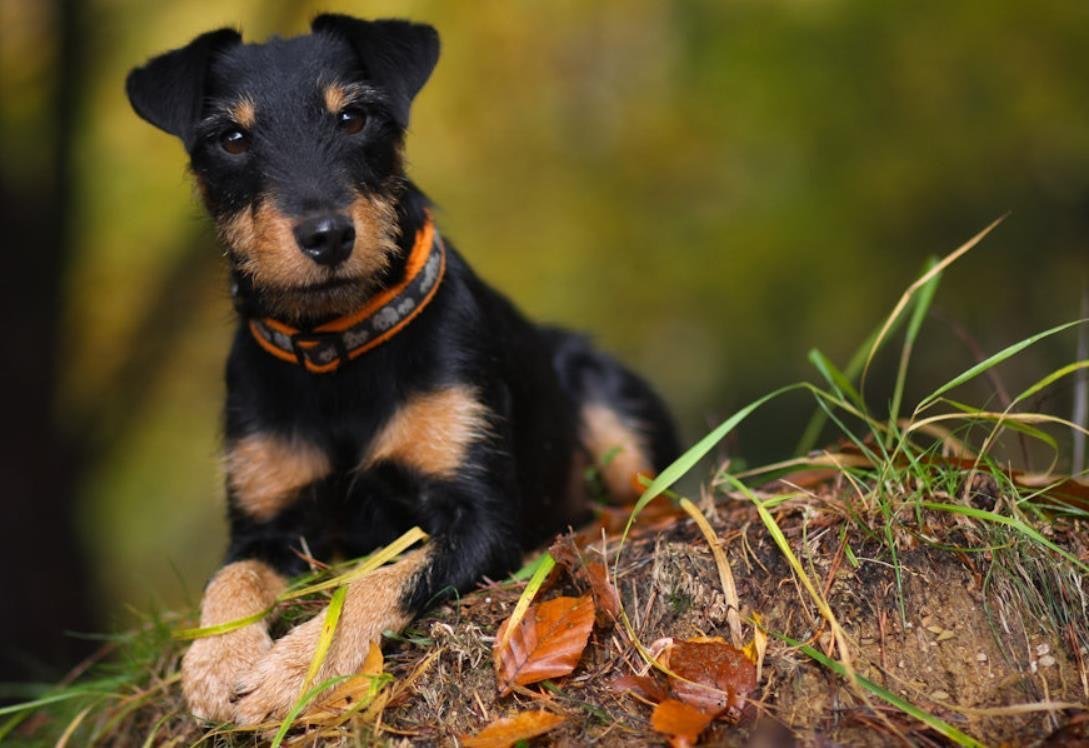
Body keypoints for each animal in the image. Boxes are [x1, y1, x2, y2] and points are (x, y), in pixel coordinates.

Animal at [123, 16, 675, 727]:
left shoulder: (482, 519)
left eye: (354, 117)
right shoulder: (267, 528)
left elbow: (383, 578)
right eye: (231, 138)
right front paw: (217, 662)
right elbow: (230, 579)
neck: (336, 349)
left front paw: (295, 673)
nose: (327, 235)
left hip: (614, 411)